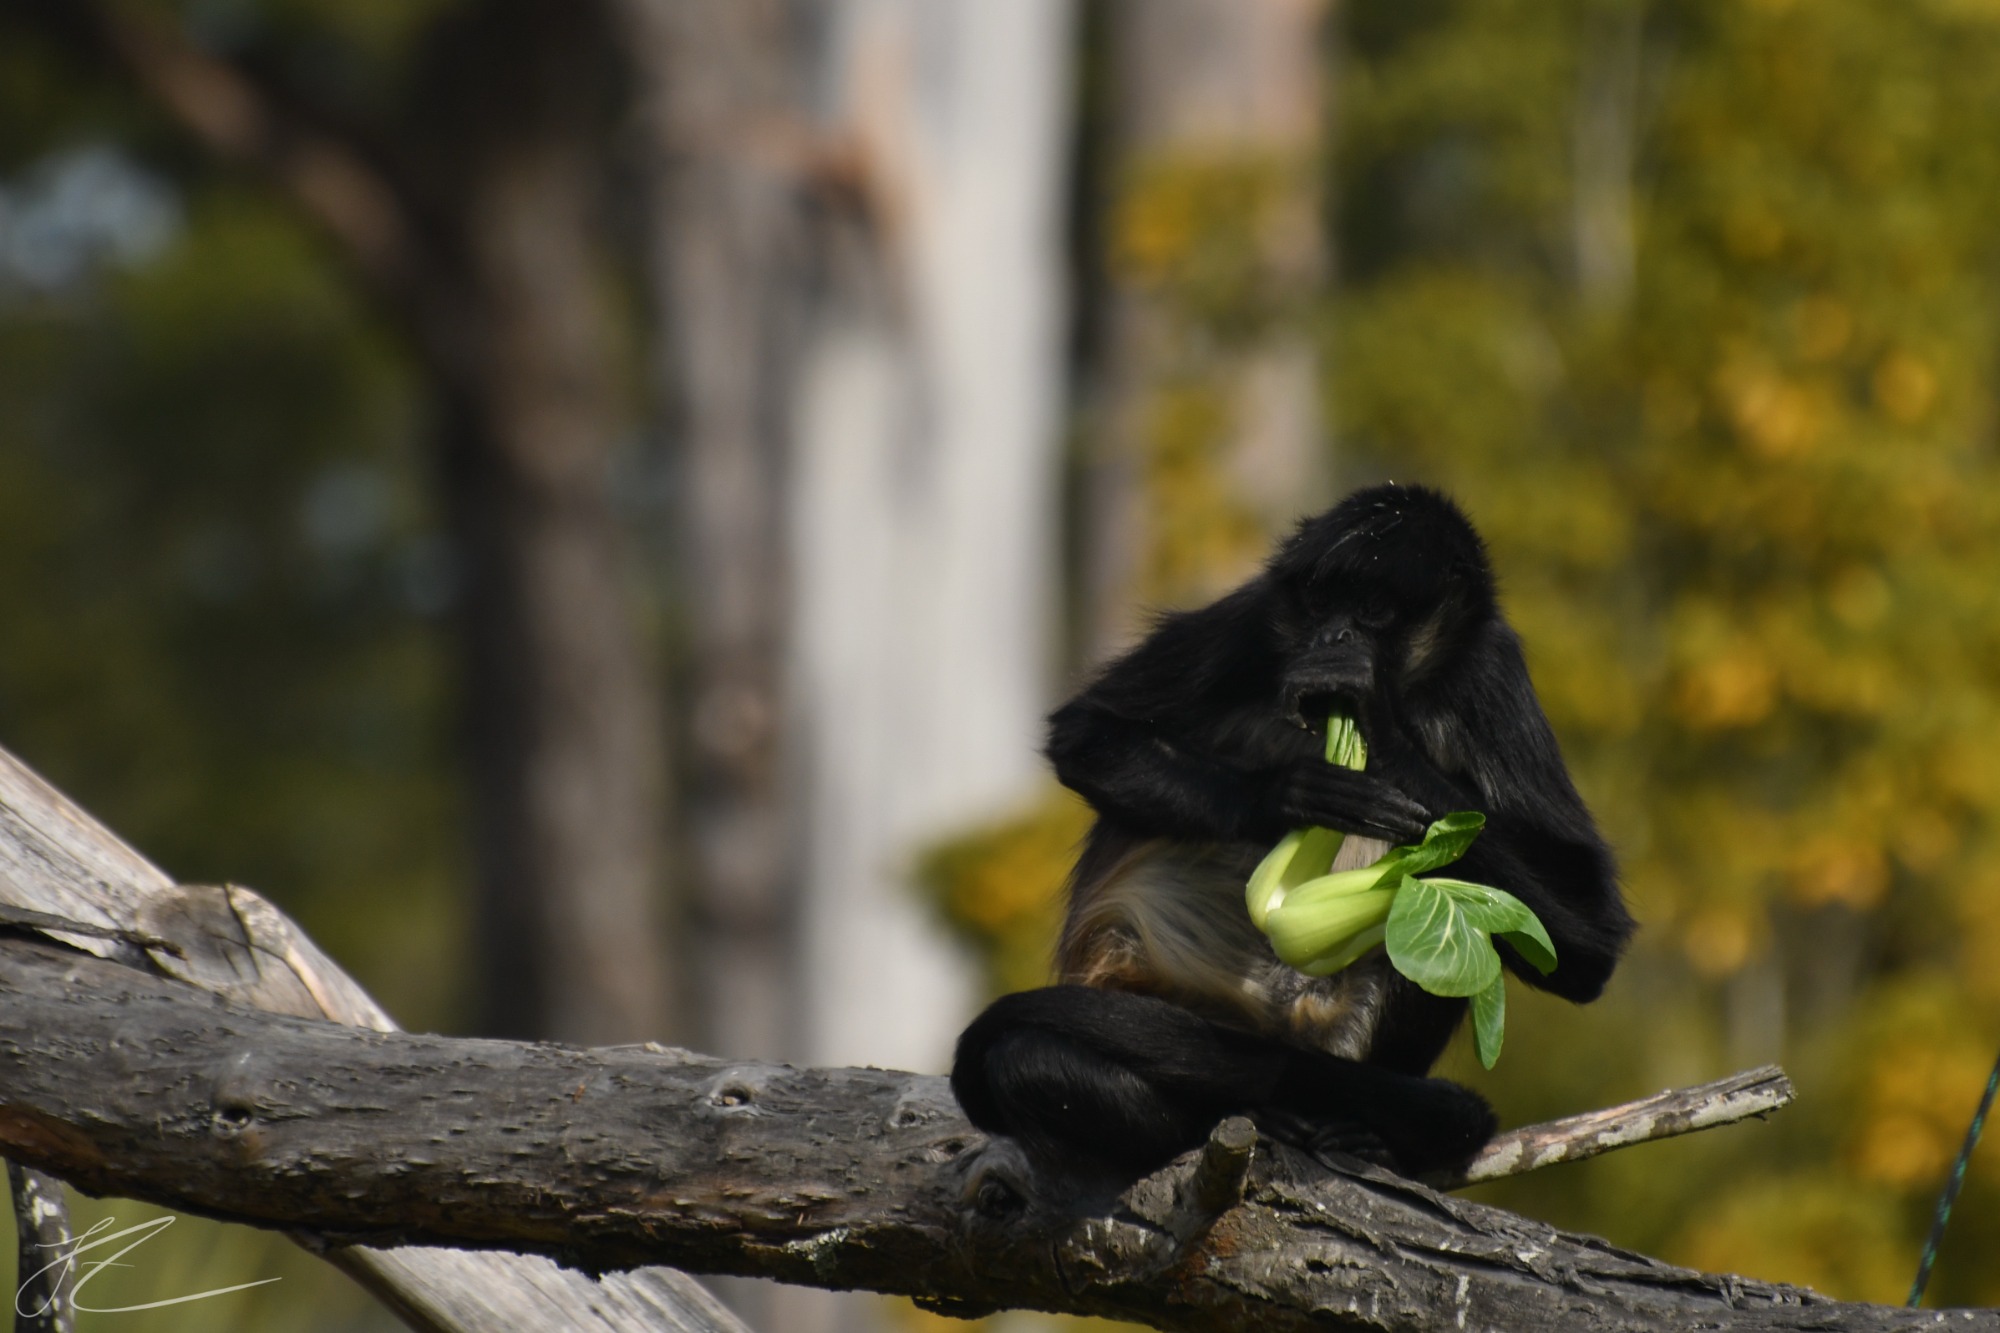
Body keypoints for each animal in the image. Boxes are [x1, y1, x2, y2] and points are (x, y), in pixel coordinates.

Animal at [950, 483, 1633, 1178]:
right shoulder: (1257, 619)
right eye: (1322, 603)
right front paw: (1286, 795)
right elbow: (1086, 735)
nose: (1333, 635)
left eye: (1372, 609)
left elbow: (1590, 946)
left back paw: (1363, 1133)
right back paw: (1248, 1111)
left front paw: (1377, 720)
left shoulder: (1493, 669)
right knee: (1031, 1058)